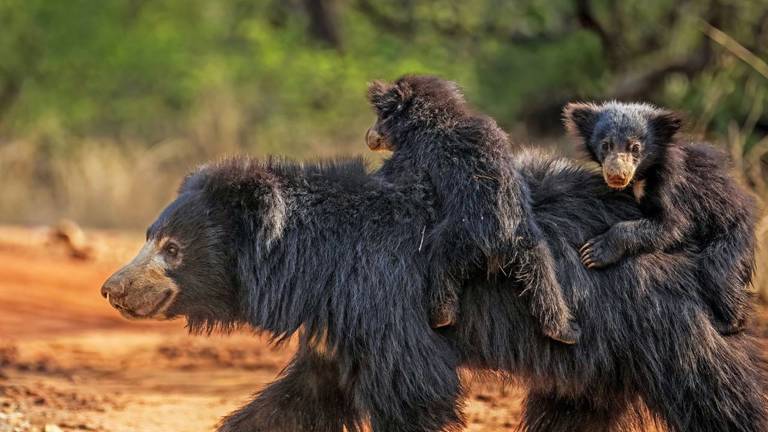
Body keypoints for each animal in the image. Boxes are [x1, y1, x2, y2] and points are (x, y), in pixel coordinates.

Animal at [101, 151, 768, 432]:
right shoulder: (342, 326)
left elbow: (413, 390)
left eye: (171, 249)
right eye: (150, 236)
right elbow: (295, 403)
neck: (318, 267)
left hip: (663, 315)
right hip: (599, 355)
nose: (113, 288)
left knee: (726, 392)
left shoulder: (389, 299)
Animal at [366, 75, 579, 344]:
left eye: (382, 116)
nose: (369, 136)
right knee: (545, 285)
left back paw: (440, 318)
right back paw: (565, 332)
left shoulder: (415, 155)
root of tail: (502, 244)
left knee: (441, 268)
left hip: (459, 239)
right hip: (534, 249)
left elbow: (398, 176)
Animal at [563, 101, 758, 335]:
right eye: (606, 145)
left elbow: (672, 226)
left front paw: (593, 252)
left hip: (730, 235)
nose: (617, 175)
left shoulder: (673, 186)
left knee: (719, 272)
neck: (643, 175)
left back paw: (727, 322)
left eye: (635, 147)